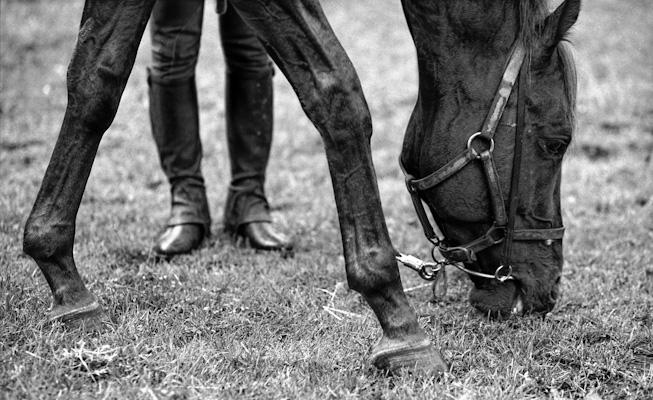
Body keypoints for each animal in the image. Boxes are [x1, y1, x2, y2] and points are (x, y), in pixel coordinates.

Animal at [22, 0, 580, 376]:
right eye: (556, 143)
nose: (547, 289)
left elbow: (95, 81)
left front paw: (61, 272)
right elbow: (338, 94)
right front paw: (397, 320)